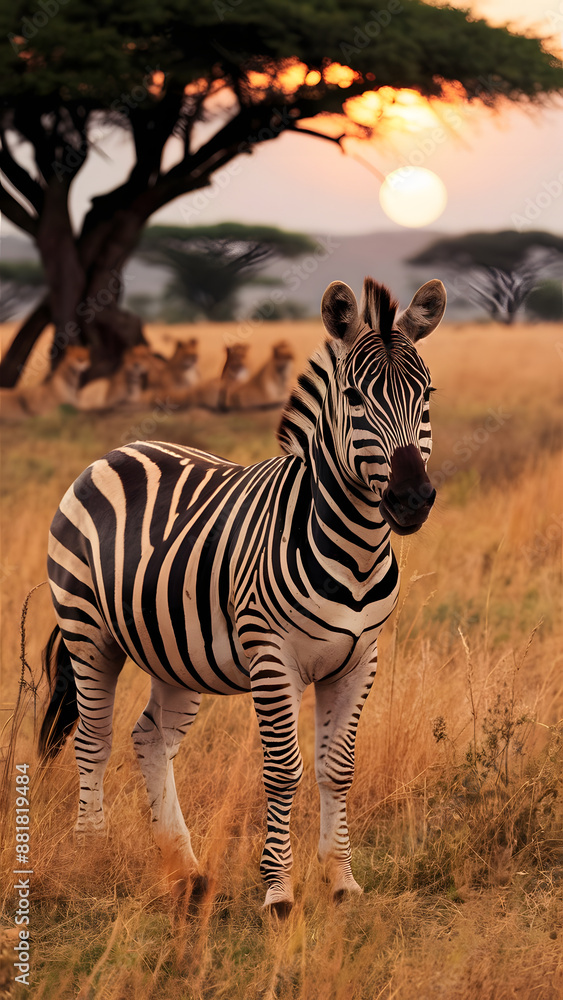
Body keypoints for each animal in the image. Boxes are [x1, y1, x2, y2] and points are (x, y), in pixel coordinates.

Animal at [38, 276, 446, 915]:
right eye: (355, 397)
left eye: (426, 393)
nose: (412, 500)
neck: (355, 552)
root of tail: (122, 448)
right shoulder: (272, 655)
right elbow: (283, 770)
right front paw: (277, 892)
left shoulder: (360, 660)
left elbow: (338, 769)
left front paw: (341, 881)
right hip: (87, 629)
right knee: (92, 737)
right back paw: (90, 852)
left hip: (173, 653)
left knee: (149, 738)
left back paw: (184, 869)